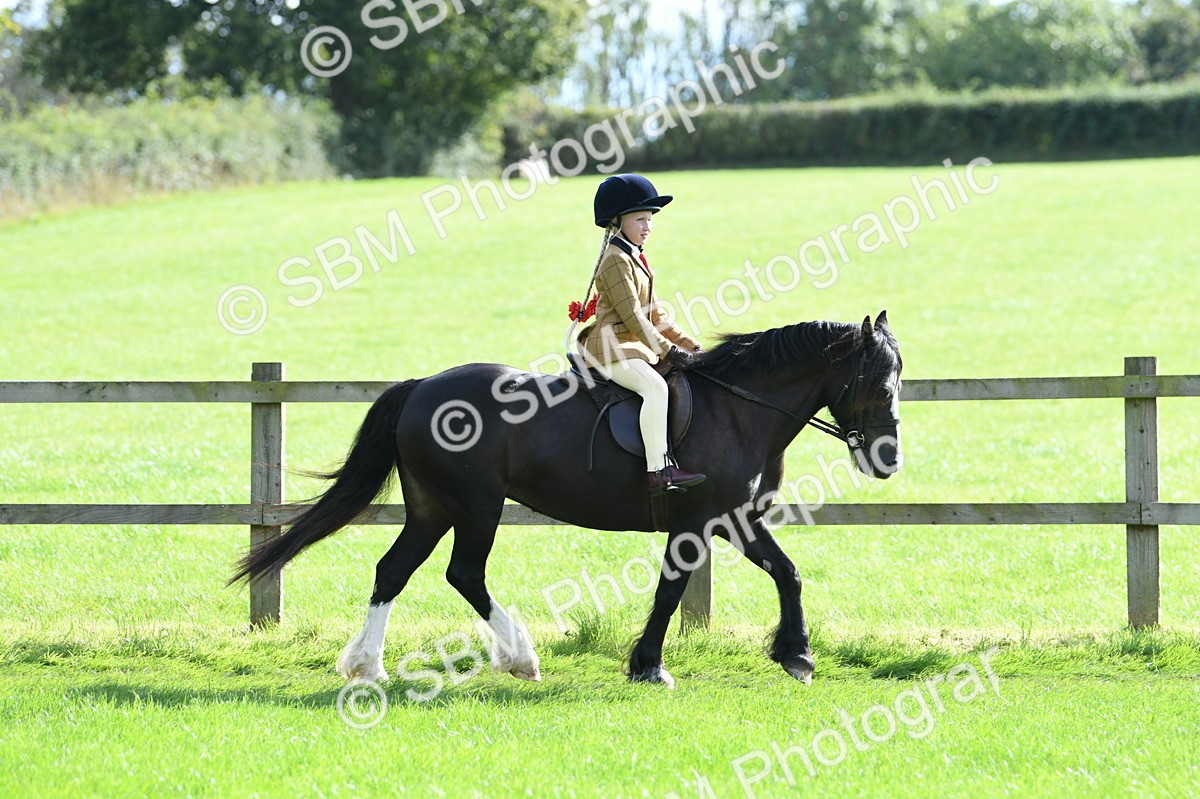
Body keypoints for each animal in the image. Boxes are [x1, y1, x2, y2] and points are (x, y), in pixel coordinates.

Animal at [231, 311, 903, 688]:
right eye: (877, 382)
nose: (887, 459)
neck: (738, 408)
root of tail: (422, 388)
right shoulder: (699, 522)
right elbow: (671, 593)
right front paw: (650, 666)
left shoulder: (732, 520)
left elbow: (786, 573)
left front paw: (796, 656)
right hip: (475, 507)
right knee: (463, 573)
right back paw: (520, 658)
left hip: (431, 508)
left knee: (393, 570)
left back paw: (368, 666)